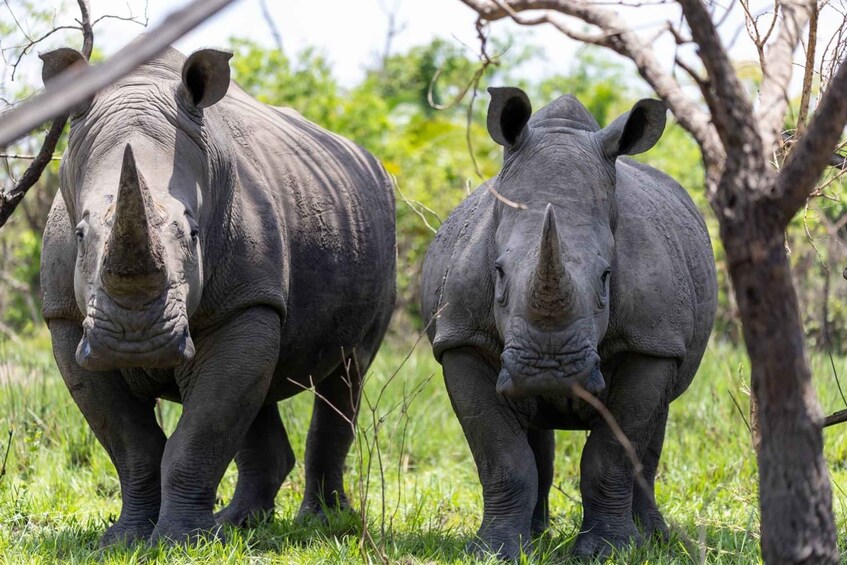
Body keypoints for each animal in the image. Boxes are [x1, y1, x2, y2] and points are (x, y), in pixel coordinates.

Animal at [39, 43, 395, 545]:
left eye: (193, 234)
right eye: (80, 234)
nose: (135, 341)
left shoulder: (246, 300)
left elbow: (201, 433)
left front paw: (179, 542)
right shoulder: (66, 319)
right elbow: (132, 444)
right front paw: (125, 540)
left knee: (348, 369)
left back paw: (319, 524)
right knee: (261, 385)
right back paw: (238, 523)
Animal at [421, 88, 716, 559]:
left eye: (606, 277)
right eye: (498, 273)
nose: (549, 372)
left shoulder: (649, 342)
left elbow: (612, 453)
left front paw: (610, 552)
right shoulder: (462, 338)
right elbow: (501, 455)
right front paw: (496, 552)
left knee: (654, 427)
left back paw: (654, 538)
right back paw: (537, 536)